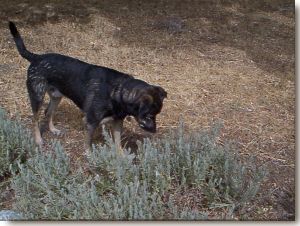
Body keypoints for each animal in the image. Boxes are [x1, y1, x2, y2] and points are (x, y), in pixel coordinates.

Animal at [8, 22, 168, 151]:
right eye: (149, 115)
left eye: (156, 115)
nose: (155, 131)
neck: (118, 91)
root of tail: (36, 57)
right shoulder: (90, 122)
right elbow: (88, 144)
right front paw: (90, 156)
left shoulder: (117, 122)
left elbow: (118, 144)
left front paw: (121, 159)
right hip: (37, 96)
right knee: (35, 118)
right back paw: (38, 140)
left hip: (56, 96)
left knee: (48, 112)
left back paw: (53, 129)